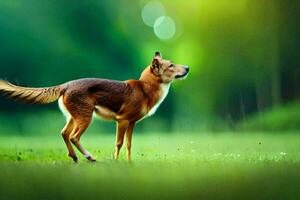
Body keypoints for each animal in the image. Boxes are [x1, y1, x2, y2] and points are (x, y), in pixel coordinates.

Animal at [0, 52, 189, 162]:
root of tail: (65, 85)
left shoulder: (132, 122)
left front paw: (129, 163)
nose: (187, 67)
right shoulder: (122, 120)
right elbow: (119, 143)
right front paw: (116, 162)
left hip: (73, 116)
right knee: (74, 137)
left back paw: (75, 157)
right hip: (86, 117)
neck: (145, 89)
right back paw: (89, 156)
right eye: (171, 65)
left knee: (64, 133)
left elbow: (129, 144)